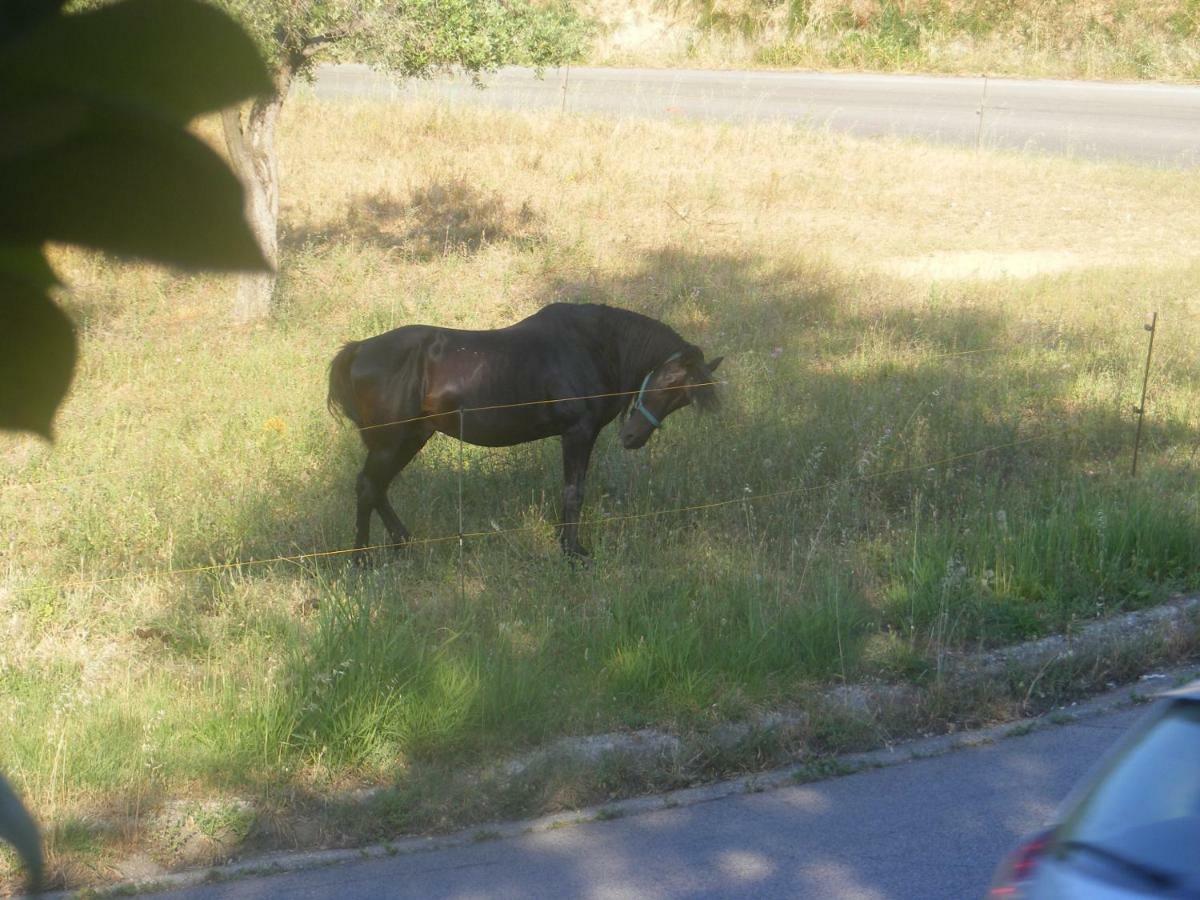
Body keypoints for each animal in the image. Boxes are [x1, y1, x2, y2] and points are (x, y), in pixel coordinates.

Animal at [326, 303, 720, 556]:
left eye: (682, 399)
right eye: (667, 382)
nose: (632, 438)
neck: (593, 344)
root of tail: (358, 350)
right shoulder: (578, 433)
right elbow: (574, 492)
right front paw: (573, 551)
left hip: (410, 438)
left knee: (377, 489)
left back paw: (402, 543)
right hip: (391, 442)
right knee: (368, 487)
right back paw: (362, 559)